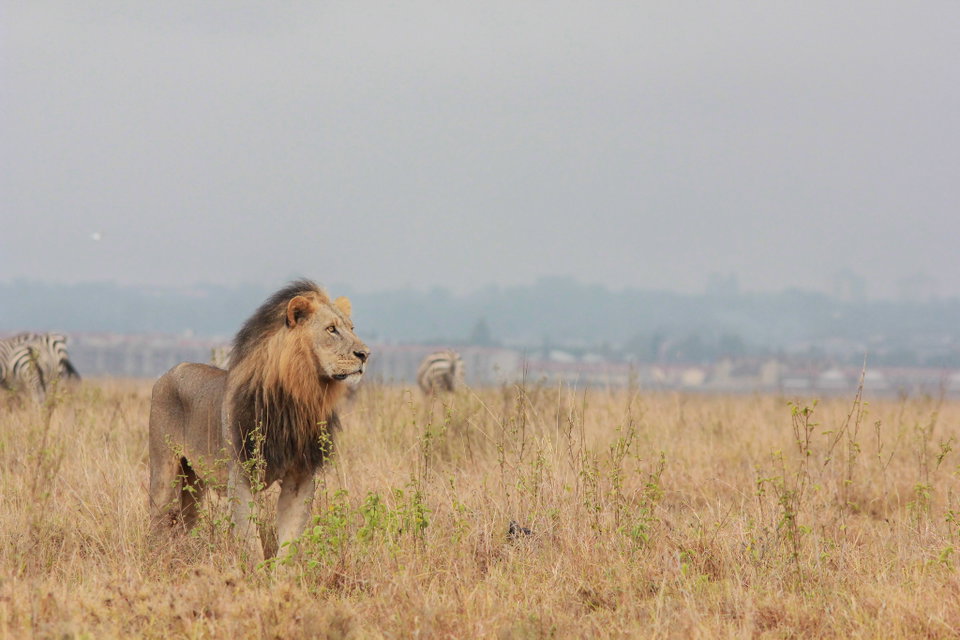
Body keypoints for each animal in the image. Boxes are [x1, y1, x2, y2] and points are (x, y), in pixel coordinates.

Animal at [148, 280, 370, 560]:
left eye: (352, 329)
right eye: (331, 329)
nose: (365, 354)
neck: (299, 397)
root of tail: (170, 372)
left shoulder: (301, 477)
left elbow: (290, 540)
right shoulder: (241, 475)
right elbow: (251, 542)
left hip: (194, 483)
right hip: (164, 473)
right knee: (157, 520)